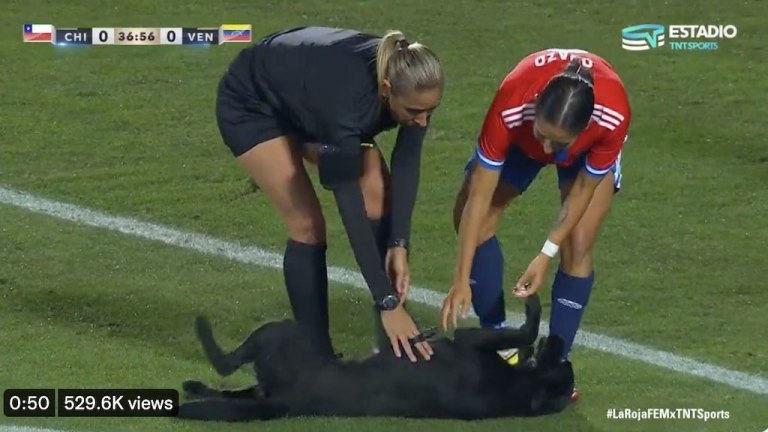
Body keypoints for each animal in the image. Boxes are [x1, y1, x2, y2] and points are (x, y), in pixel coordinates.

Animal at [177, 296, 572, 420]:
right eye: (564, 363)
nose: (558, 339)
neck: (519, 389)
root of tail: (289, 403)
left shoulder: (466, 340)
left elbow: (523, 331)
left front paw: (533, 310)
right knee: (228, 391)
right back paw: (193, 385)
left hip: (281, 332)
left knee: (225, 363)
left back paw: (199, 331)